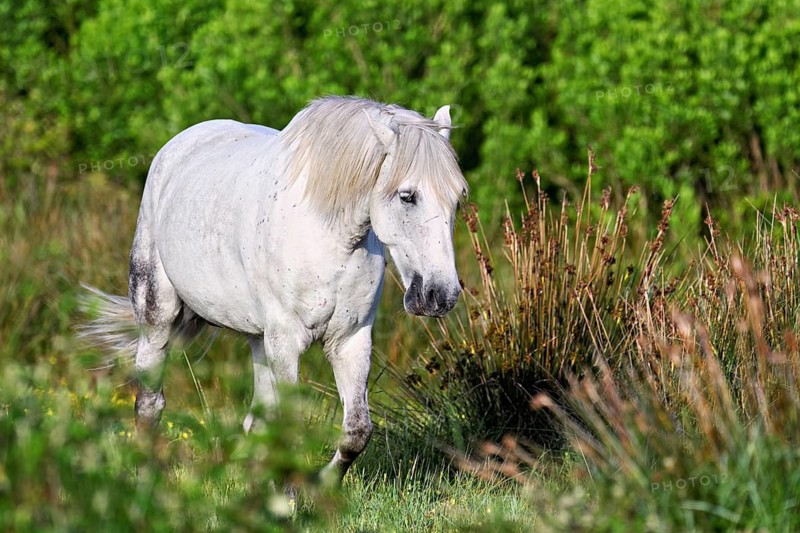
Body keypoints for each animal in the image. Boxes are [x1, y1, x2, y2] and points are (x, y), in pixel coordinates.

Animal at [81, 96, 468, 477]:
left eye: (457, 198)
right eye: (407, 196)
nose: (440, 296)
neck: (328, 237)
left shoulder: (350, 339)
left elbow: (356, 431)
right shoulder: (286, 339)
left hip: (258, 338)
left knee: (256, 420)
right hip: (157, 318)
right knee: (149, 404)